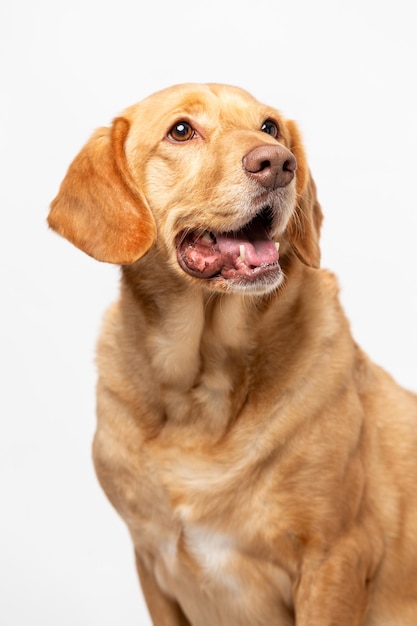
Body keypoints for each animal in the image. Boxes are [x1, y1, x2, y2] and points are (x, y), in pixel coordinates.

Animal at [48, 84, 416, 624]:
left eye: (270, 127)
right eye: (181, 130)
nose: (278, 163)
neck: (201, 386)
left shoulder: (336, 558)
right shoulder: (151, 565)